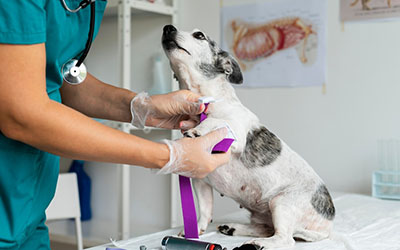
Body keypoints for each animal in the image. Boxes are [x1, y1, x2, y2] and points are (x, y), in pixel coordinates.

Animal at [162, 25, 334, 250]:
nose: (168, 28)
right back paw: (234, 228)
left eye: (199, 35)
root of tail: (328, 224)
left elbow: (217, 121)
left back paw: (259, 244)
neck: (204, 102)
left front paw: (199, 129)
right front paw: (196, 230)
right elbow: (205, 211)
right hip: (266, 213)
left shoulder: (236, 132)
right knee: (267, 229)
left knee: (285, 239)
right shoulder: (201, 180)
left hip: (282, 202)